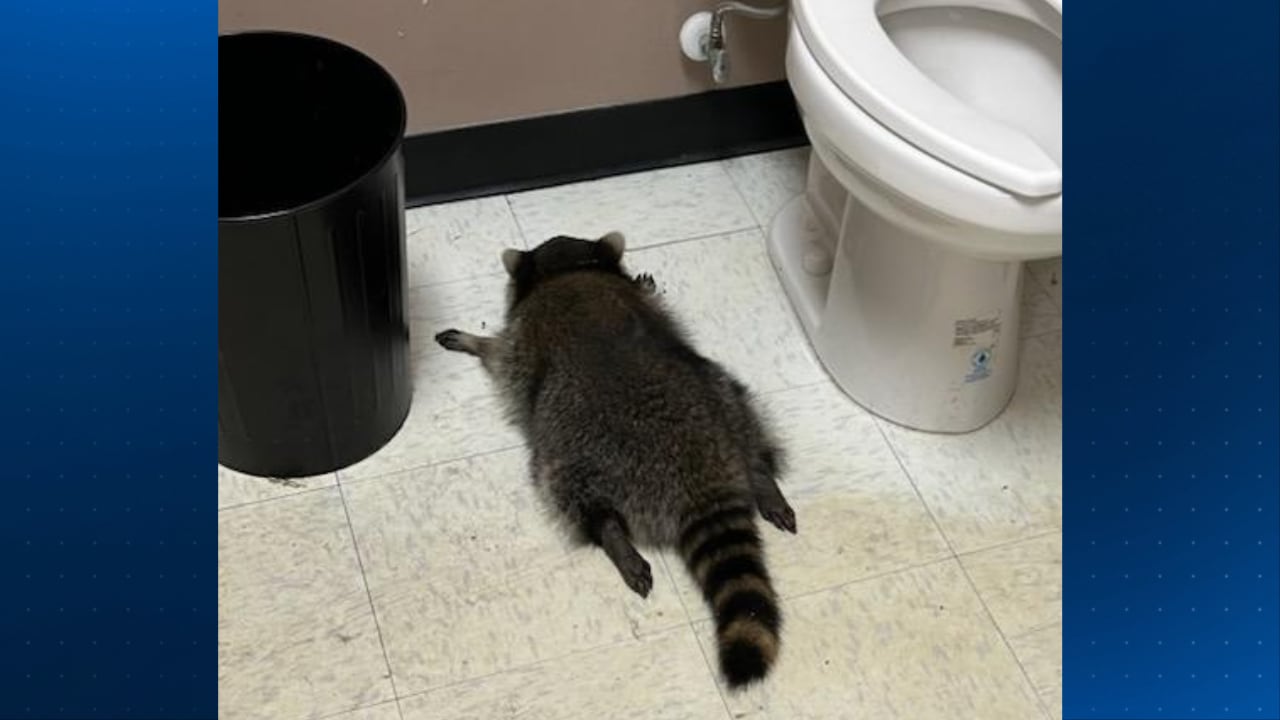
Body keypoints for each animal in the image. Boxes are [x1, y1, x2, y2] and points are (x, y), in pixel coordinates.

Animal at [434, 231, 796, 689]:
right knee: (745, 418)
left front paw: (474, 341)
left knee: (568, 490)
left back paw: (611, 534)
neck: (570, 269)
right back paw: (762, 476)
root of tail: (701, 473)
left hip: (575, 450)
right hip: (723, 395)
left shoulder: (522, 339)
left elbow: (500, 354)